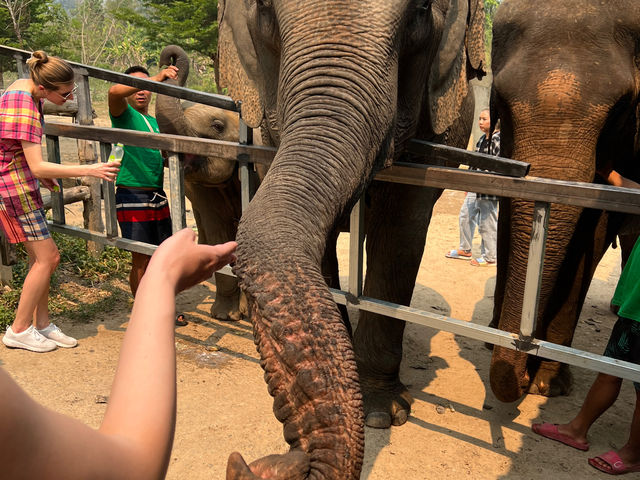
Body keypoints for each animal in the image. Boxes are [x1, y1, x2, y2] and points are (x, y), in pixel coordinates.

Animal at [216, 1, 484, 478]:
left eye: (420, 12)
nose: (293, 457)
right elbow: (320, 247)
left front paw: (380, 413)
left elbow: (400, 234)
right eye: (263, 10)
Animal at [484, 0, 640, 404]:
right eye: (500, 99)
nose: (522, 376)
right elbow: (510, 212)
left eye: (621, 108)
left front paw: (548, 385)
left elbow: (593, 235)